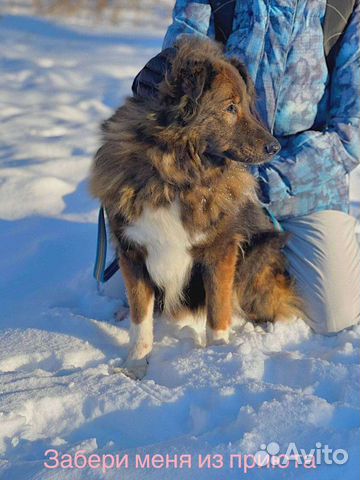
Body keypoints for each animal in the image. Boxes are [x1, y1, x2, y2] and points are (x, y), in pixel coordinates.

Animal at [90, 37, 300, 380]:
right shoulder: (132, 251)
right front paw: (136, 364)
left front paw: (217, 357)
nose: (275, 147)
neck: (176, 176)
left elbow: (218, 310)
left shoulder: (221, 250)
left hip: (258, 252)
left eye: (246, 104)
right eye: (230, 107)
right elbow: (140, 320)